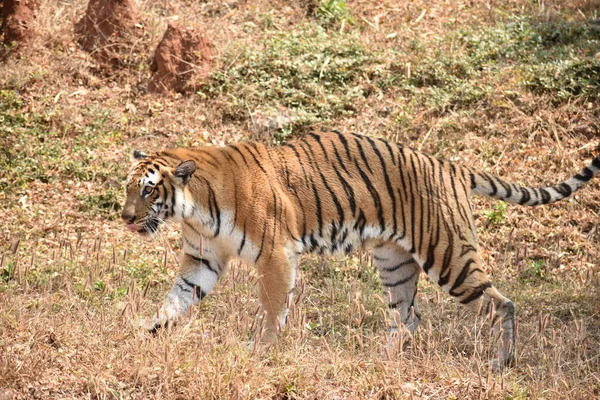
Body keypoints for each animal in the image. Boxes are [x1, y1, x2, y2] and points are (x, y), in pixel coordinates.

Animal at [122, 130, 600, 368]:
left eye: (148, 190)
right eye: (128, 187)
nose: (125, 217)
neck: (194, 208)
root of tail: (448, 164)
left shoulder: (276, 254)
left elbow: (272, 309)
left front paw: (260, 352)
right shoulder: (202, 258)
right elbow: (176, 300)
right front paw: (146, 332)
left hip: (449, 257)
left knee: (502, 304)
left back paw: (503, 362)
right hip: (394, 262)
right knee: (408, 317)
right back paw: (382, 359)